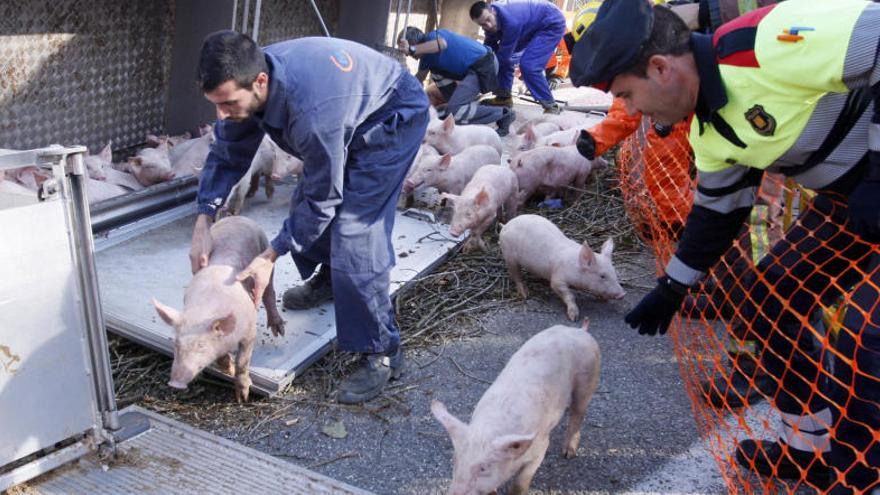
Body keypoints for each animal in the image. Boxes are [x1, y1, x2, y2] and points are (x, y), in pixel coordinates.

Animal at [151, 217, 286, 404]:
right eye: (176, 343)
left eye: (201, 345)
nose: (175, 383)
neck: (204, 311)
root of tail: (239, 218)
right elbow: (222, 357)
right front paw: (228, 369)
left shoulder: (249, 332)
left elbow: (243, 361)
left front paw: (242, 398)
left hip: (266, 252)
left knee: (268, 292)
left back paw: (279, 330)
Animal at [432, 320, 600, 494]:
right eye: (455, 460)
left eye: (483, 468)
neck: (488, 430)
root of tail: (579, 331)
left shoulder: (540, 446)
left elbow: (521, 481)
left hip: (589, 376)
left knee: (578, 412)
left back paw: (568, 454)